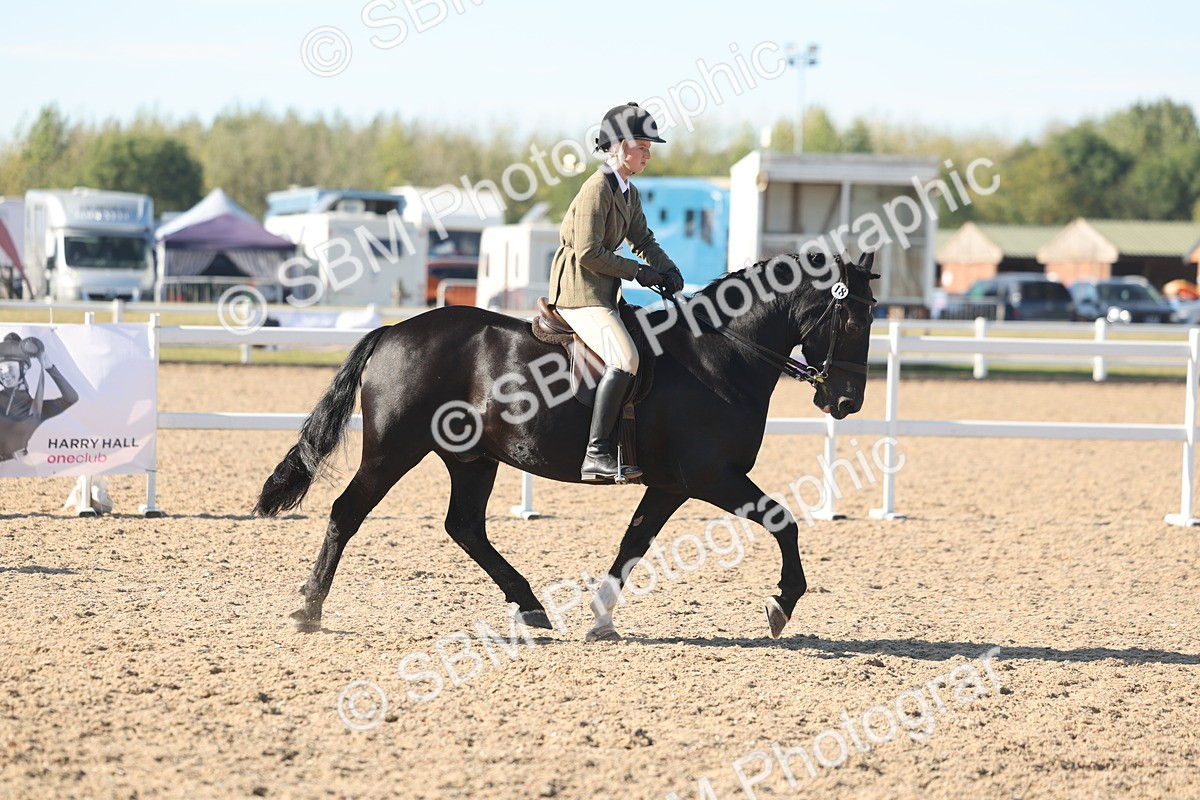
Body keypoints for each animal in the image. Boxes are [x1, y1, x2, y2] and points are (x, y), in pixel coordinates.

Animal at [254, 250, 879, 640]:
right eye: (854, 320)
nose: (848, 401)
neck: (720, 353)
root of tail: (393, 331)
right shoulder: (711, 477)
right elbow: (784, 522)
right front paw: (781, 604)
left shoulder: (670, 485)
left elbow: (633, 545)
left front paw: (601, 619)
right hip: (394, 450)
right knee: (347, 512)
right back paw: (309, 609)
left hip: (471, 459)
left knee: (465, 527)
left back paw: (530, 605)